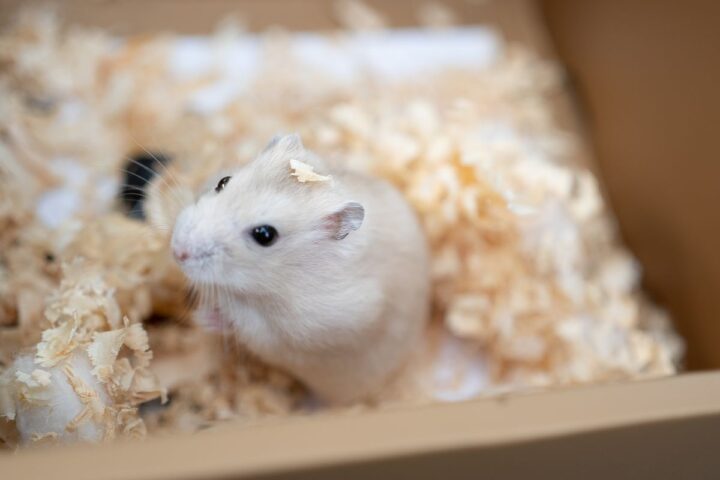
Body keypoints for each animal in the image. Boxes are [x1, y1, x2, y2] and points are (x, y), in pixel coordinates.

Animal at [171, 134, 430, 404]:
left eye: (265, 235)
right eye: (223, 182)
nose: (177, 251)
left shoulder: (296, 330)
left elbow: (244, 325)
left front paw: (204, 317)